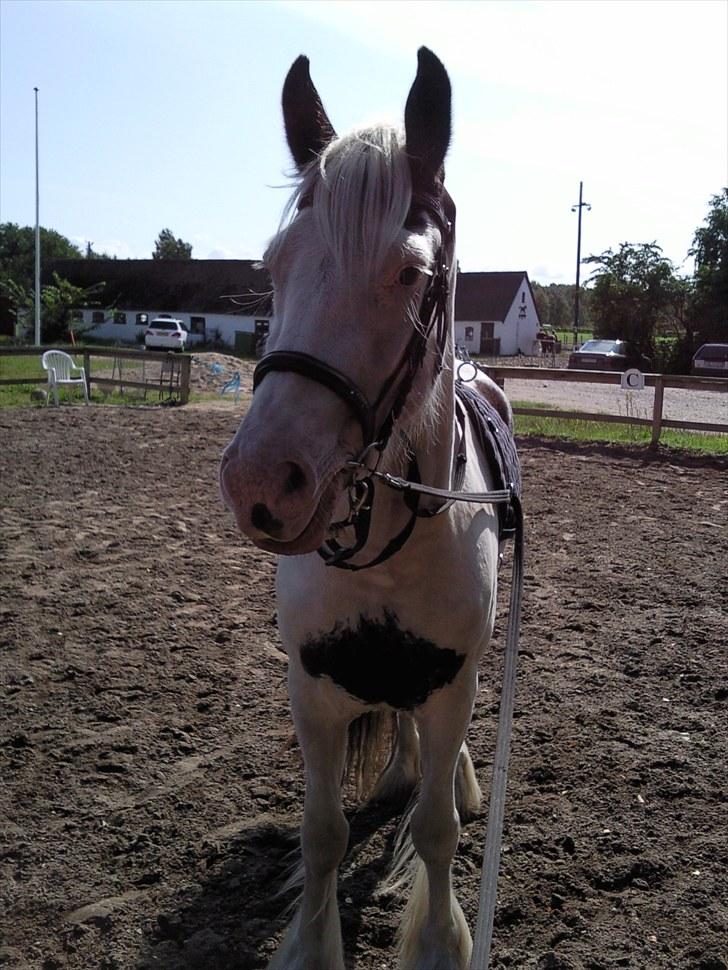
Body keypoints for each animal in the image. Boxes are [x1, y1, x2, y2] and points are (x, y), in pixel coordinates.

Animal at [219, 47, 520, 968]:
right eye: (274, 266)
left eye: (411, 272)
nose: (261, 482)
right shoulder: (313, 689)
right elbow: (323, 832)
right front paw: (313, 944)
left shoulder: (452, 683)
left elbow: (437, 832)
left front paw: (440, 940)